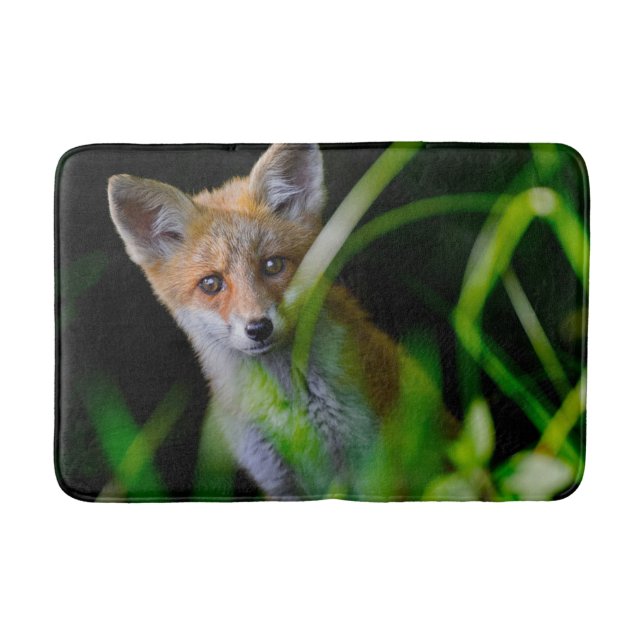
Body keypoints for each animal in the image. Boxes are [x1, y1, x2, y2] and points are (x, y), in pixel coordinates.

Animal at [108, 144, 433, 499]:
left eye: (273, 265)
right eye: (211, 284)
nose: (258, 328)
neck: (289, 407)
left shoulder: (373, 467)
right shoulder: (276, 479)